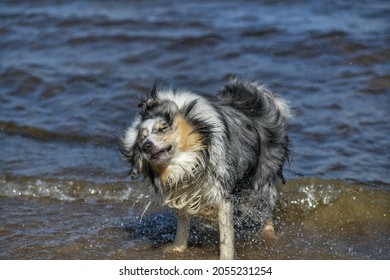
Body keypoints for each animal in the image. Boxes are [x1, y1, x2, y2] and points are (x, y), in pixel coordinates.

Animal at [119, 79, 290, 260]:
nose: (146, 146)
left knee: (266, 206)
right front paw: (177, 249)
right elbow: (182, 223)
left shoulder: (221, 191)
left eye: (163, 128)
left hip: (264, 173)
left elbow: (226, 236)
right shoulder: (182, 189)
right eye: (143, 137)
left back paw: (269, 234)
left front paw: (226, 258)